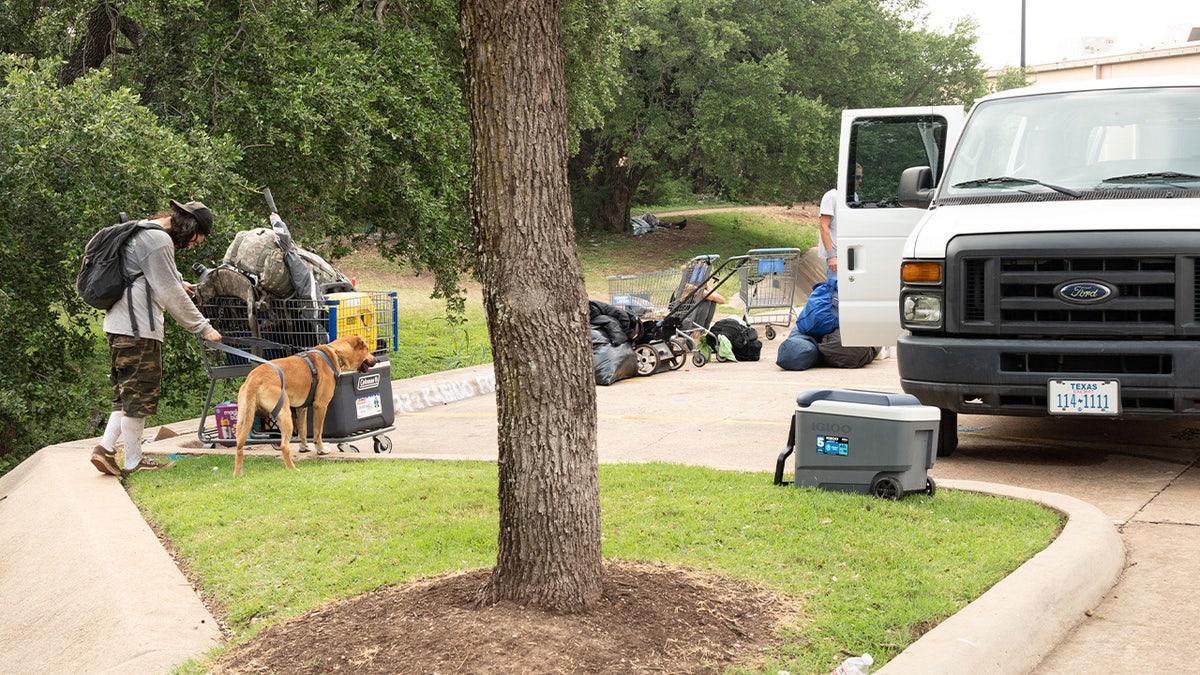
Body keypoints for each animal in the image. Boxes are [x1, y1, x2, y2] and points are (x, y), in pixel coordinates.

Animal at [232, 333, 374, 475]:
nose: (375, 360)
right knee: (284, 446)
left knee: (239, 445)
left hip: (244, 418)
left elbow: (303, 431)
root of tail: (254, 378)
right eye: (367, 349)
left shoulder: (301, 409)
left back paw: (238, 474)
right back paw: (293, 469)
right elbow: (318, 432)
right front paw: (321, 449)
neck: (335, 352)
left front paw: (304, 447)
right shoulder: (320, 405)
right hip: (285, 415)